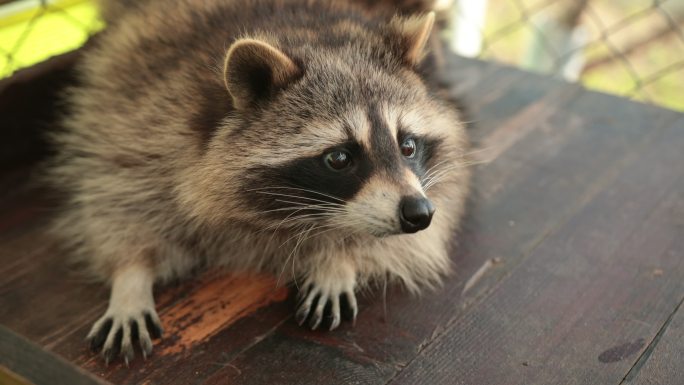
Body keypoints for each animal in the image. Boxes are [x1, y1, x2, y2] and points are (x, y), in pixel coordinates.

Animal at [50, 0, 470, 364]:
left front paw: (338, 258)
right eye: (339, 158)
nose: (418, 213)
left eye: (408, 145)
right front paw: (130, 278)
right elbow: (118, 203)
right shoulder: (140, 122)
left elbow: (419, 231)